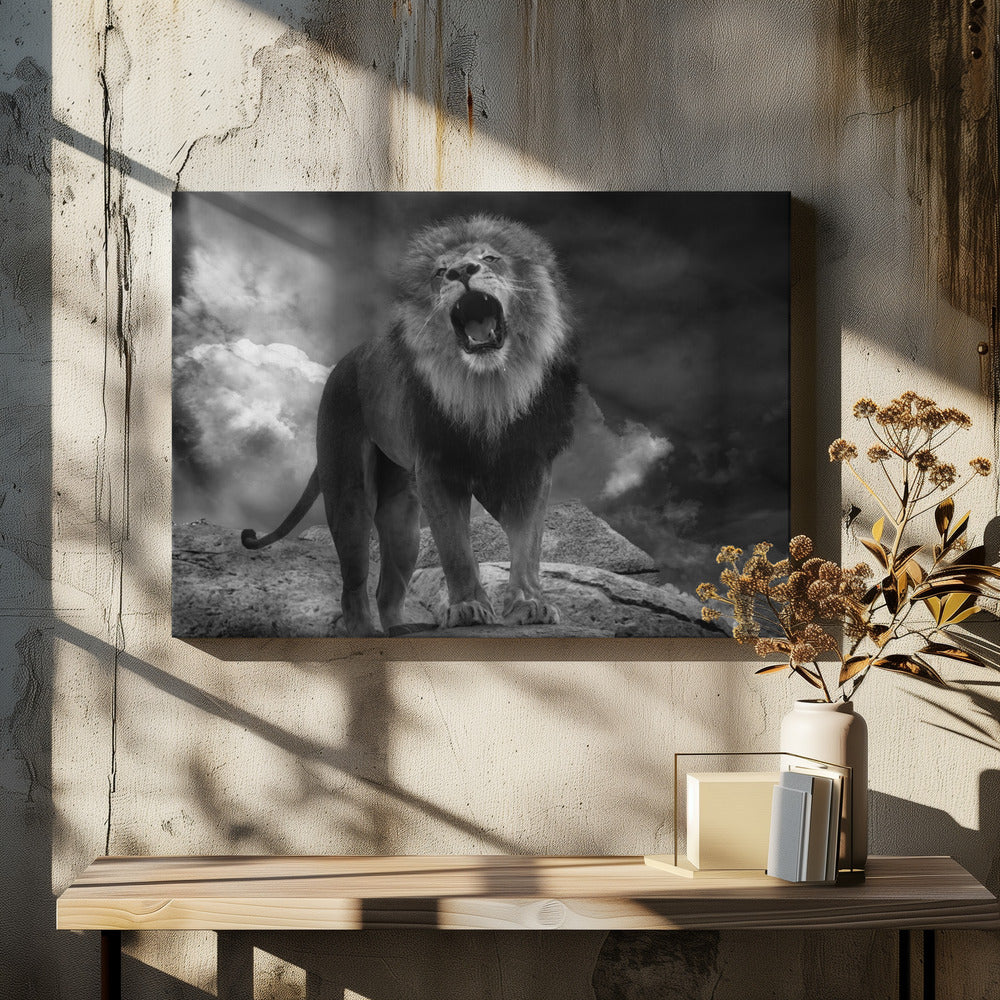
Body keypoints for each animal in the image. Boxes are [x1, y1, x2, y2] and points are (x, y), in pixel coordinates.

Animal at [241, 214, 579, 635]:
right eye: (439, 272)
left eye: (490, 258)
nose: (461, 272)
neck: (489, 388)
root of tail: (346, 360)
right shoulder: (437, 468)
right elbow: (455, 549)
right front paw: (468, 607)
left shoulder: (529, 466)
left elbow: (528, 545)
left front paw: (530, 604)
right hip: (349, 494)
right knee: (353, 582)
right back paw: (365, 632)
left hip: (403, 518)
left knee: (388, 588)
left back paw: (401, 630)